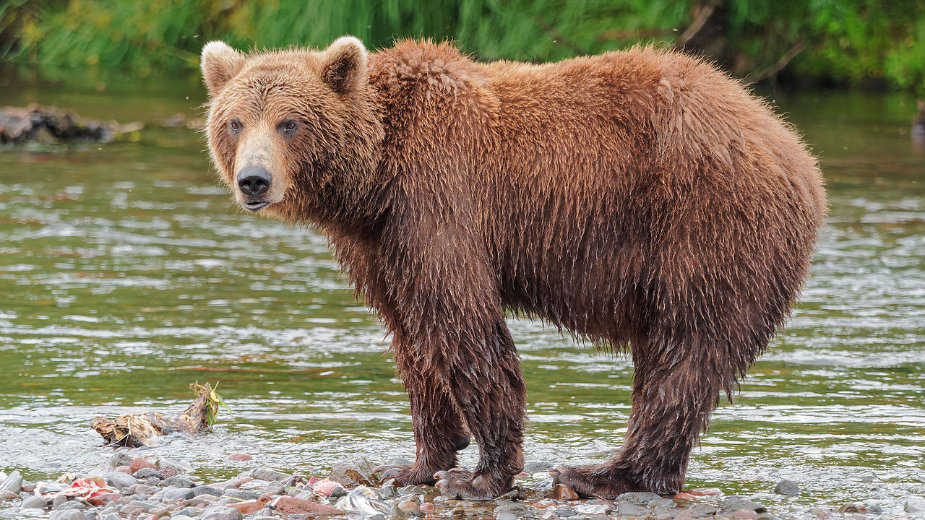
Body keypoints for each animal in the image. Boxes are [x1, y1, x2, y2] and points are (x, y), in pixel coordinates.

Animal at [200, 35, 824, 500]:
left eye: (289, 122)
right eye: (235, 121)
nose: (254, 180)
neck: (373, 180)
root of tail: (793, 147)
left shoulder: (438, 201)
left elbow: (462, 323)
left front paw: (483, 475)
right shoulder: (380, 245)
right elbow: (410, 336)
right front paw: (417, 462)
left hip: (706, 226)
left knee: (684, 351)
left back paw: (605, 473)